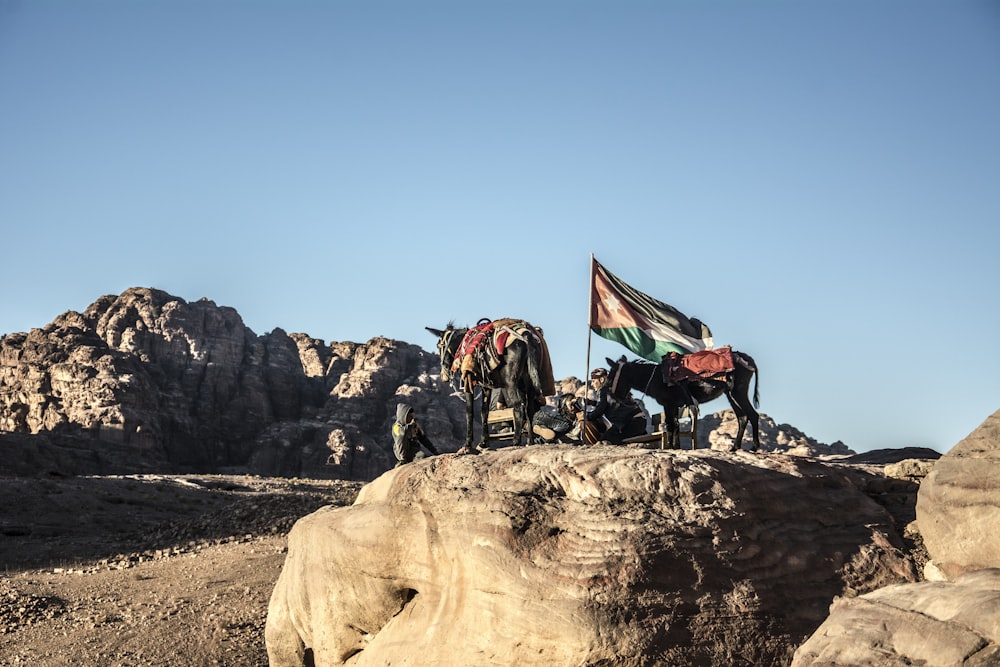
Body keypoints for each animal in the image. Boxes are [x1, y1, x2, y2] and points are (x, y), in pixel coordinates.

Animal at [424, 320, 548, 454]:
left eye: (438, 345)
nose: (443, 374)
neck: (464, 345)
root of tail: (526, 335)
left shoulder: (468, 383)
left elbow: (469, 412)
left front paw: (467, 444)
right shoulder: (486, 386)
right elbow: (484, 412)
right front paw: (483, 442)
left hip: (511, 383)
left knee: (519, 407)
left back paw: (515, 441)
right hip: (527, 382)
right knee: (529, 409)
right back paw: (530, 441)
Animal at [604, 350, 760, 454]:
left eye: (610, 378)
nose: (610, 401)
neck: (656, 378)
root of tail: (748, 359)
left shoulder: (668, 404)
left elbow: (671, 425)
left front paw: (670, 447)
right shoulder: (674, 405)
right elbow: (675, 425)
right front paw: (675, 447)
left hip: (737, 392)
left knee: (753, 415)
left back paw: (754, 447)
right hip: (730, 394)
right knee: (742, 417)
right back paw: (734, 448)